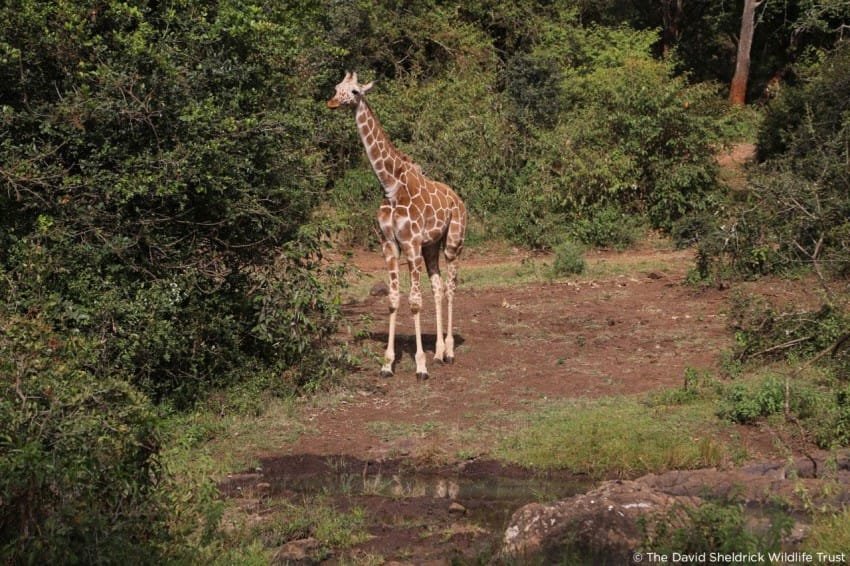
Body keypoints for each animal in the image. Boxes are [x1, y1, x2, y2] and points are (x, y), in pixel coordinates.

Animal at [328, 72, 468, 382]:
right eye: (336, 88)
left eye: (355, 92)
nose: (332, 103)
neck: (390, 187)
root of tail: (458, 198)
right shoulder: (389, 244)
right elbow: (393, 299)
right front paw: (386, 364)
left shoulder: (410, 243)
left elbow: (414, 301)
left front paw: (420, 367)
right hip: (431, 246)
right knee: (438, 285)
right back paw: (439, 352)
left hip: (453, 243)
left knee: (451, 286)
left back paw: (450, 352)